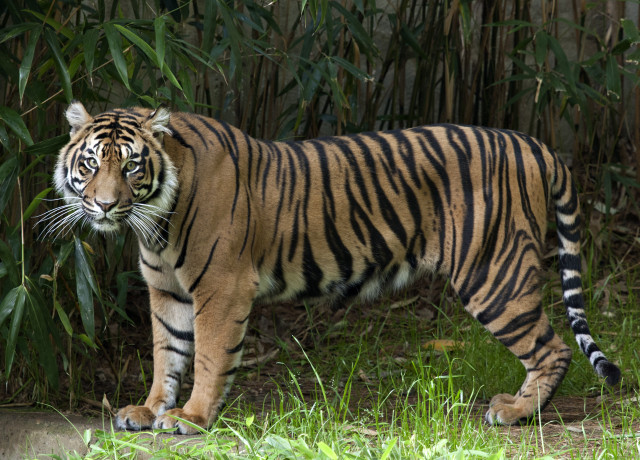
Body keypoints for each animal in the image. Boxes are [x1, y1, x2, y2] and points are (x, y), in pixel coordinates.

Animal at [51, 101, 620, 435]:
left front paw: (190, 418)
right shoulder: (167, 291)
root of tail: (533, 143)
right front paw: (149, 411)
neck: (155, 220)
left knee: (552, 348)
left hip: (493, 273)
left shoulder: (221, 289)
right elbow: (166, 354)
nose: (104, 205)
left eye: (131, 166)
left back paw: (518, 412)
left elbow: (209, 356)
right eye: (91, 164)